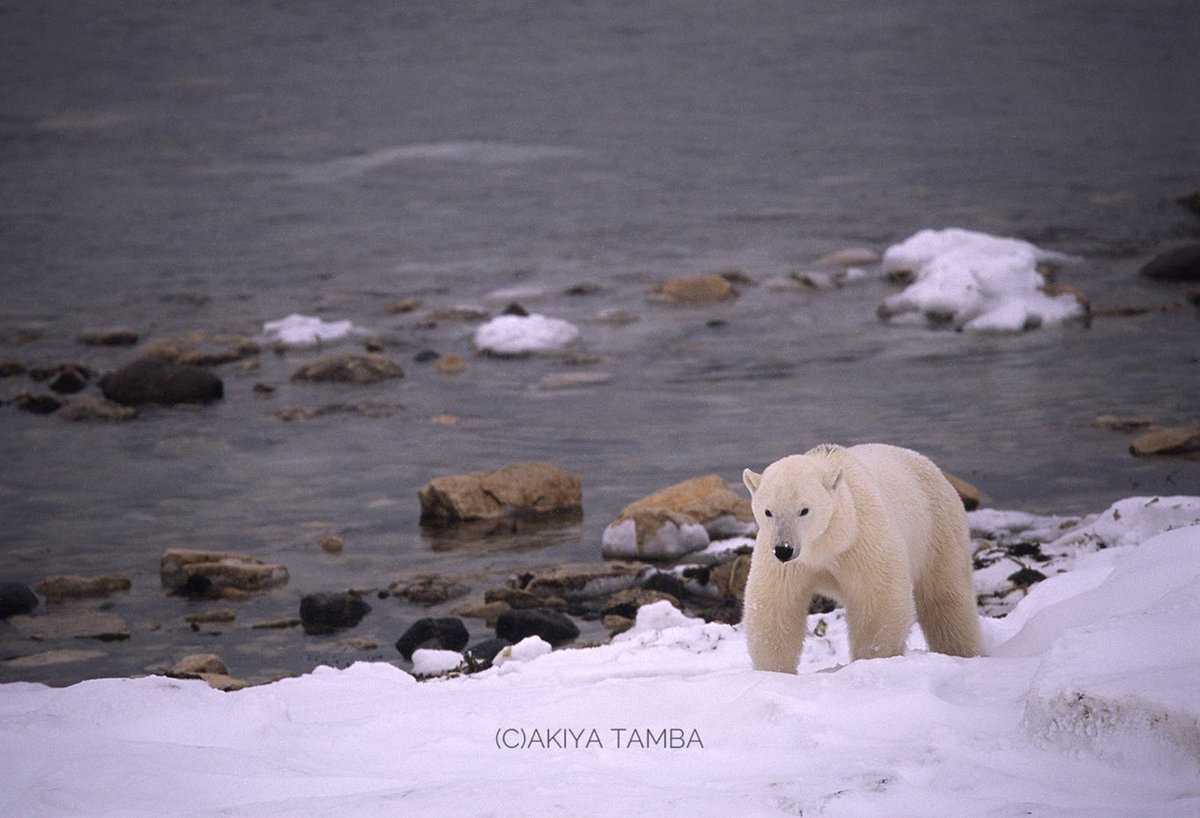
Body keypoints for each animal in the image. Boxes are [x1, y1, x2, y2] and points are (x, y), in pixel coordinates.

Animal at [739, 443, 984, 671]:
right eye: (768, 511)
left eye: (804, 510)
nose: (784, 549)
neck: (829, 543)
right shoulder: (785, 562)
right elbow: (775, 606)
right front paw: (774, 671)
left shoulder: (863, 540)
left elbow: (879, 599)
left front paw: (872, 659)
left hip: (938, 530)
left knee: (947, 600)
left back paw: (960, 651)